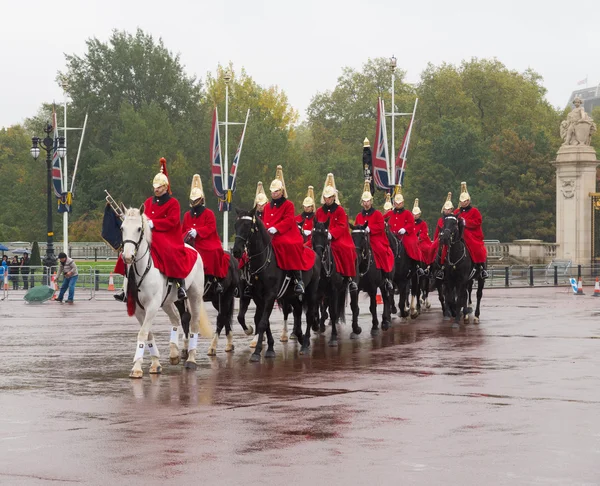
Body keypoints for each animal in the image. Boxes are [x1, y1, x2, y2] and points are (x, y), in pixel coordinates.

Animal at [120, 207, 212, 378]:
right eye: (122, 228)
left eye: (139, 229)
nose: (128, 256)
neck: (141, 270)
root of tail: (191, 248)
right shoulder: (138, 309)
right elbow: (148, 333)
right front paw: (155, 363)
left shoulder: (152, 306)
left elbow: (143, 333)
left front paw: (137, 367)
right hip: (168, 301)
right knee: (176, 319)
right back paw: (174, 352)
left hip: (194, 295)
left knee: (194, 323)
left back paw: (191, 359)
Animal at [233, 207, 322, 358]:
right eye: (235, 225)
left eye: (247, 226)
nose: (236, 251)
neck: (262, 262)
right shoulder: (257, 298)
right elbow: (263, 321)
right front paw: (269, 347)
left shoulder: (270, 296)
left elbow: (263, 322)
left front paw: (257, 352)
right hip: (290, 295)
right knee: (298, 311)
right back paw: (299, 336)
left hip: (311, 292)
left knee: (309, 315)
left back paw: (304, 344)